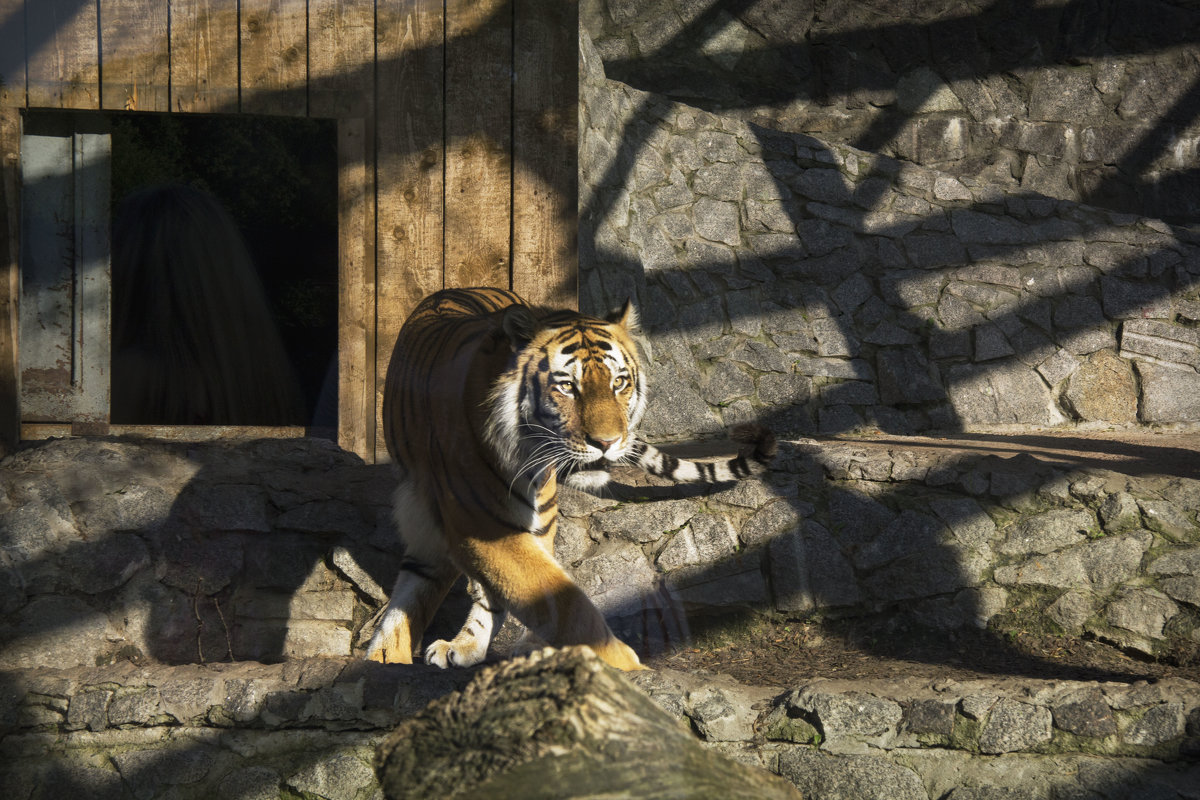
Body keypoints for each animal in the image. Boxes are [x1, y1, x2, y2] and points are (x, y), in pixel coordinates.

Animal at [362, 284, 777, 671]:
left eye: (619, 382)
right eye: (566, 386)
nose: (607, 442)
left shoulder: (523, 522)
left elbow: (539, 595)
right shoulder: (479, 522)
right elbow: (558, 598)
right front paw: (624, 663)